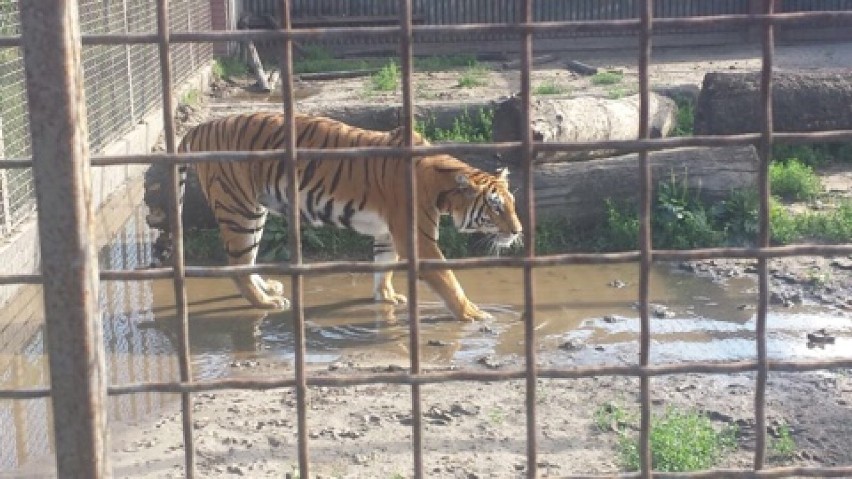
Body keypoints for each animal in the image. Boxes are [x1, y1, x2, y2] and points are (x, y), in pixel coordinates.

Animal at [179, 112, 524, 322]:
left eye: (512, 204)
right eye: (495, 208)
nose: (518, 231)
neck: (440, 186)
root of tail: (200, 127)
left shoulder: (387, 232)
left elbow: (383, 266)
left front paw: (386, 297)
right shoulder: (418, 239)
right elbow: (449, 280)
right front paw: (473, 314)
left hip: (254, 210)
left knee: (247, 259)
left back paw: (269, 289)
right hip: (239, 208)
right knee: (237, 262)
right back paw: (265, 303)